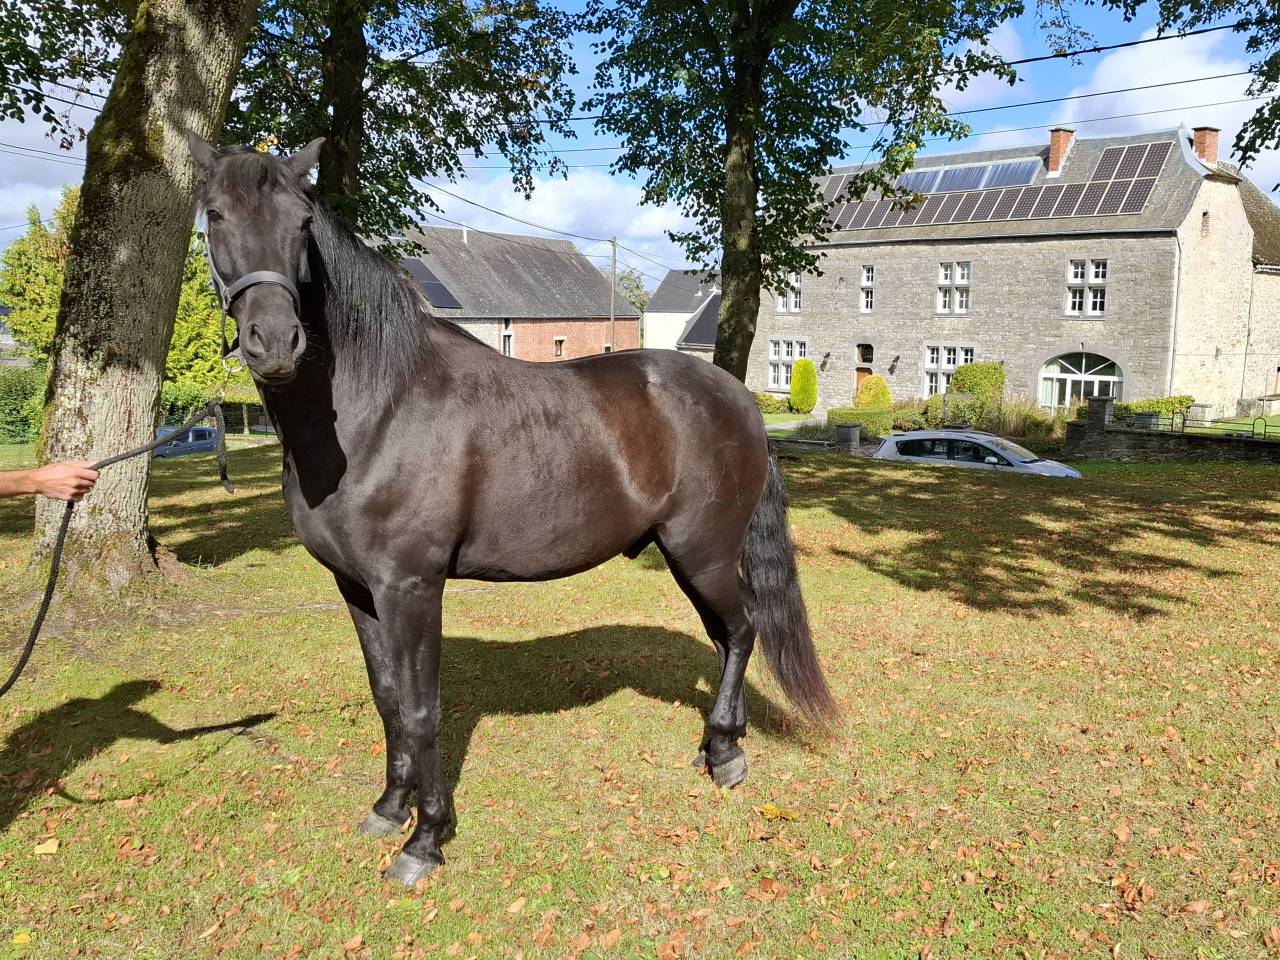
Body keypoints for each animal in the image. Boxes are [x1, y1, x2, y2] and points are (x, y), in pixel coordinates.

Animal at [187, 132, 838, 887]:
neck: (377, 409)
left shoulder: (412, 588)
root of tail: (738, 397)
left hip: (701, 552)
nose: (274, 343)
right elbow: (388, 699)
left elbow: (422, 708)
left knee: (741, 631)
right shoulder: (357, 588)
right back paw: (714, 748)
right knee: (727, 635)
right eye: (214, 216)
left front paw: (425, 840)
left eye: (301, 222)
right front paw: (388, 808)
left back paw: (727, 756)